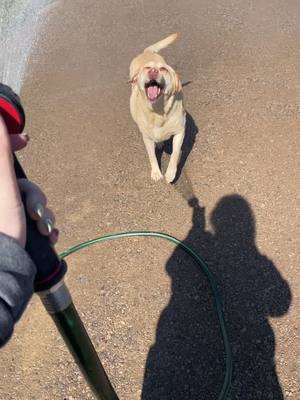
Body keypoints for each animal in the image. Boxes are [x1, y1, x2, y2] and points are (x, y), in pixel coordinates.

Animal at [129, 32, 185, 183]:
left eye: (163, 69)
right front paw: (155, 172)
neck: (158, 111)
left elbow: (175, 153)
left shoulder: (180, 131)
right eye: (147, 68)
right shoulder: (147, 138)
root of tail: (146, 52)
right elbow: (151, 156)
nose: (153, 71)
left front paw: (171, 173)